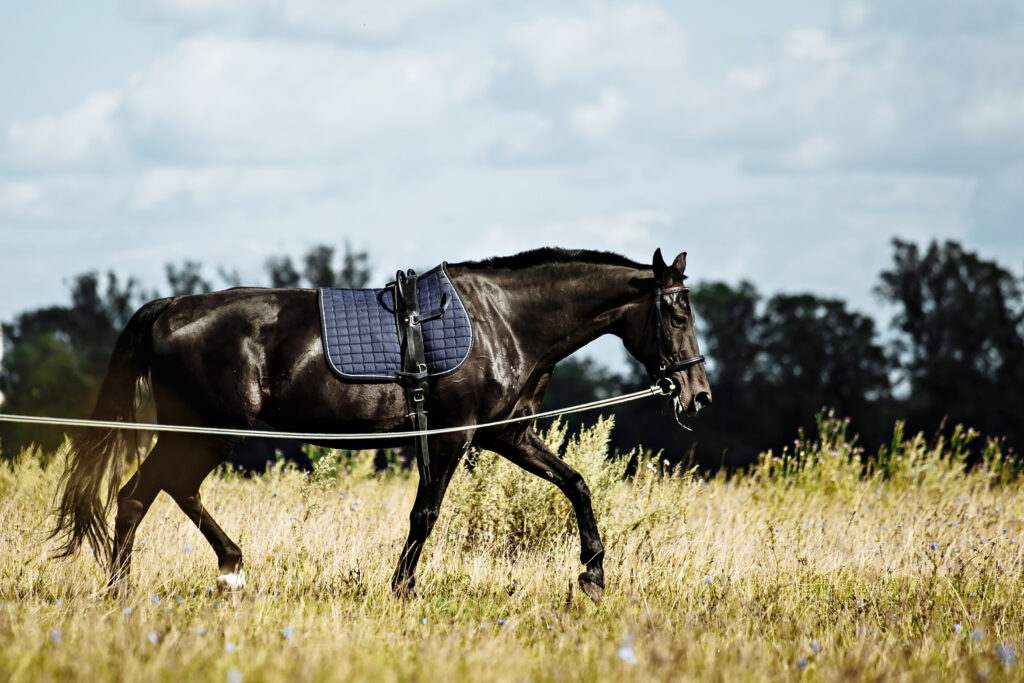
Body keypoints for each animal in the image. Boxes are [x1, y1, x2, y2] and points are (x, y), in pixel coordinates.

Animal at [51, 247, 711, 601]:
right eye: (677, 314)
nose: (698, 394)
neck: (504, 320)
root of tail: (167, 308)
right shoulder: (453, 435)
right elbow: (426, 513)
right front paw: (403, 587)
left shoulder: (508, 435)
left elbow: (576, 484)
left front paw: (593, 572)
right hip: (208, 431)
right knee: (146, 492)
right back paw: (146, 585)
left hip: (204, 435)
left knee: (158, 491)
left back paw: (206, 572)